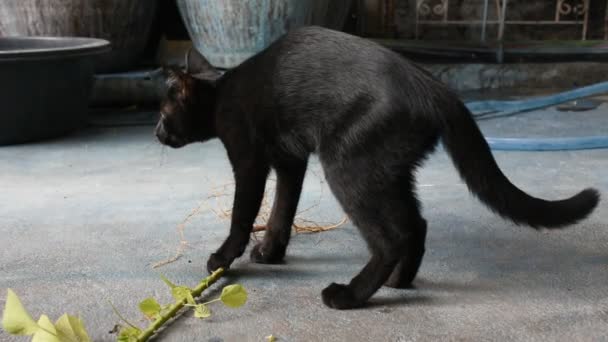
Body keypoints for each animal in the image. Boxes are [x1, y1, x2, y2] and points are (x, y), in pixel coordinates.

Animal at [154, 26, 600, 310]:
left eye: (163, 111)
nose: (156, 130)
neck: (220, 92)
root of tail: (434, 86)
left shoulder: (249, 160)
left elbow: (243, 214)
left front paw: (223, 258)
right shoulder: (290, 161)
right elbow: (283, 209)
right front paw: (271, 252)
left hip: (348, 168)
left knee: (391, 237)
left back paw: (350, 295)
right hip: (390, 172)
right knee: (415, 225)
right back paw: (399, 281)